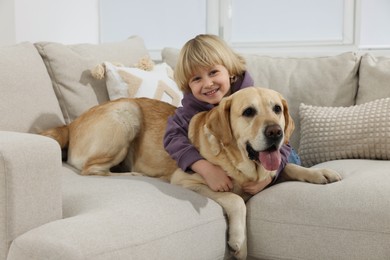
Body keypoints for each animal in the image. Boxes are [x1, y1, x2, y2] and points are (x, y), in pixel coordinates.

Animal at [41, 86, 342, 258]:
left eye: (277, 109)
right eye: (248, 112)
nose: (276, 133)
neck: (240, 162)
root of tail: (69, 124)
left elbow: (289, 166)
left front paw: (321, 173)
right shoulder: (187, 179)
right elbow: (235, 199)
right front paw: (237, 241)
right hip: (127, 111)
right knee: (92, 169)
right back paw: (134, 175)